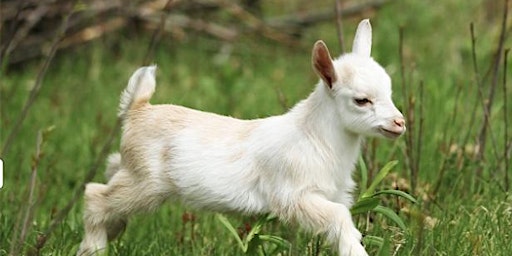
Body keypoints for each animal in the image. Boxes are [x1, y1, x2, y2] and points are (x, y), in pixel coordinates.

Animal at [77, 19, 404, 255]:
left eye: (390, 90)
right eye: (361, 100)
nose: (399, 123)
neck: (316, 138)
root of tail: (138, 107)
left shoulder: (333, 193)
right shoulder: (293, 196)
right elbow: (339, 218)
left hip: (133, 171)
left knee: (110, 169)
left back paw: (114, 228)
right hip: (146, 184)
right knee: (95, 194)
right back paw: (93, 247)